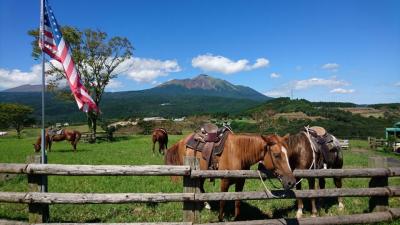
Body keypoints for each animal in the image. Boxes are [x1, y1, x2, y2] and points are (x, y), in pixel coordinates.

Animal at [164, 133, 296, 221]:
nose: (291, 182)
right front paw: (220, 218)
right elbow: (222, 201)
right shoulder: (225, 181)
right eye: (276, 155)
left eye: (288, 154)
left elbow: (237, 201)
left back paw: (206, 204)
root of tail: (183, 140)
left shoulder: (241, 181)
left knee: (200, 186)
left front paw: (236, 218)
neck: (238, 153)